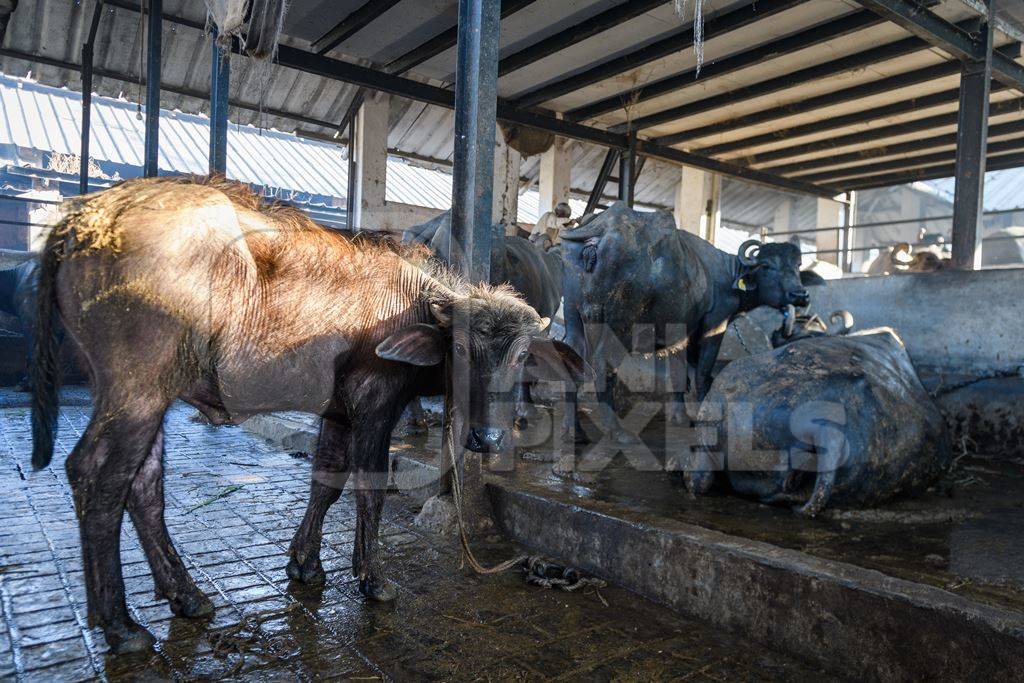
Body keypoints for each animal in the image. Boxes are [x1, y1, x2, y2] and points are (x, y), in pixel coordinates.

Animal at [32, 179, 585, 655]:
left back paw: (185, 596)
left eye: (520, 354)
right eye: (463, 349)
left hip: (147, 396)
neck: (408, 302)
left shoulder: (337, 413)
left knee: (144, 487)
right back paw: (120, 624)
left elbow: (325, 481)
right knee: (97, 477)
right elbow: (367, 487)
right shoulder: (374, 406)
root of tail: (89, 217)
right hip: (136, 390)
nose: (487, 438)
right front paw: (372, 578)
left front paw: (305, 564)